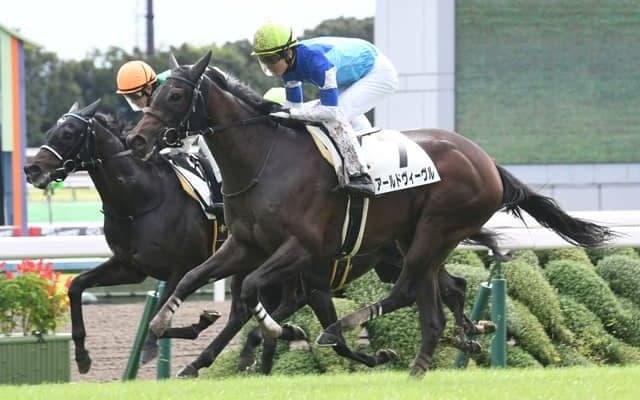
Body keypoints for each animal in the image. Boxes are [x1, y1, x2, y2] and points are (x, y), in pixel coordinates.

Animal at [125, 51, 613, 377]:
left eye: (175, 93)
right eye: (152, 93)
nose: (137, 139)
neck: (266, 159)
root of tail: (487, 161)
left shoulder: (302, 250)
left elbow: (250, 292)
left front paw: (281, 332)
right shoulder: (246, 244)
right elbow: (192, 278)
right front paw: (165, 326)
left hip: (436, 229)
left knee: (406, 290)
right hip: (415, 238)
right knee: (438, 296)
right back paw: (449, 345)